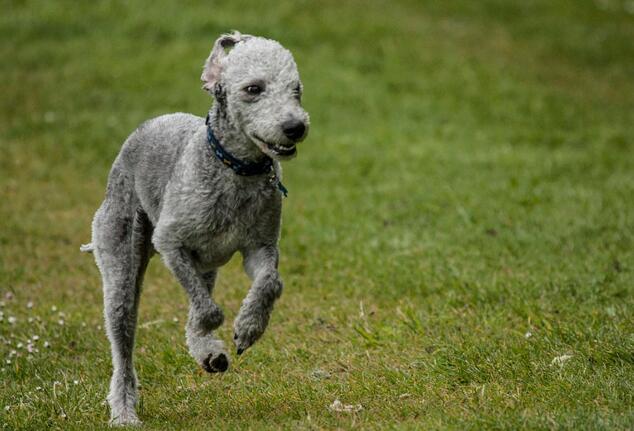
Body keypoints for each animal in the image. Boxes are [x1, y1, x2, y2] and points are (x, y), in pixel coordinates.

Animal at [81, 31, 309, 425]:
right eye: (253, 88)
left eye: (296, 90)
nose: (296, 127)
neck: (235, 169)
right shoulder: (172, 243)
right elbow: (210, 311)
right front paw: (224, 328)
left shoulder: (260, 247)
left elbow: (270, 282)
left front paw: (248, 329)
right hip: (122, 257)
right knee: (123, 341)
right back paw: (124, 412)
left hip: (206, 267)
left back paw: (209, 354)